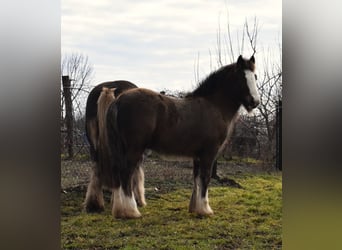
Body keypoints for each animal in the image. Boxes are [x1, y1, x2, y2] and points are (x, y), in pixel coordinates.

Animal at [84, 80, 147, 213]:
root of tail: (108, 90)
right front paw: (139, 201)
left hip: (94, 147)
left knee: (97, 169)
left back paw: (94, 205)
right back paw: (125, 207)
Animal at [100, 55, 260, 219]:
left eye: (255, 76)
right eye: (241, 77)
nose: (254, 102)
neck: (213, 106)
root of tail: (118, 100)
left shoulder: (198, 155)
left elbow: (197, 179)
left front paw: (196, 208)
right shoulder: (209, 153)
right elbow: (205, 178)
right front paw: (205, 209)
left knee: (117, 174)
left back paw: (120, 211)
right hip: (134, 150)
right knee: (126, 174)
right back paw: (131, 211)